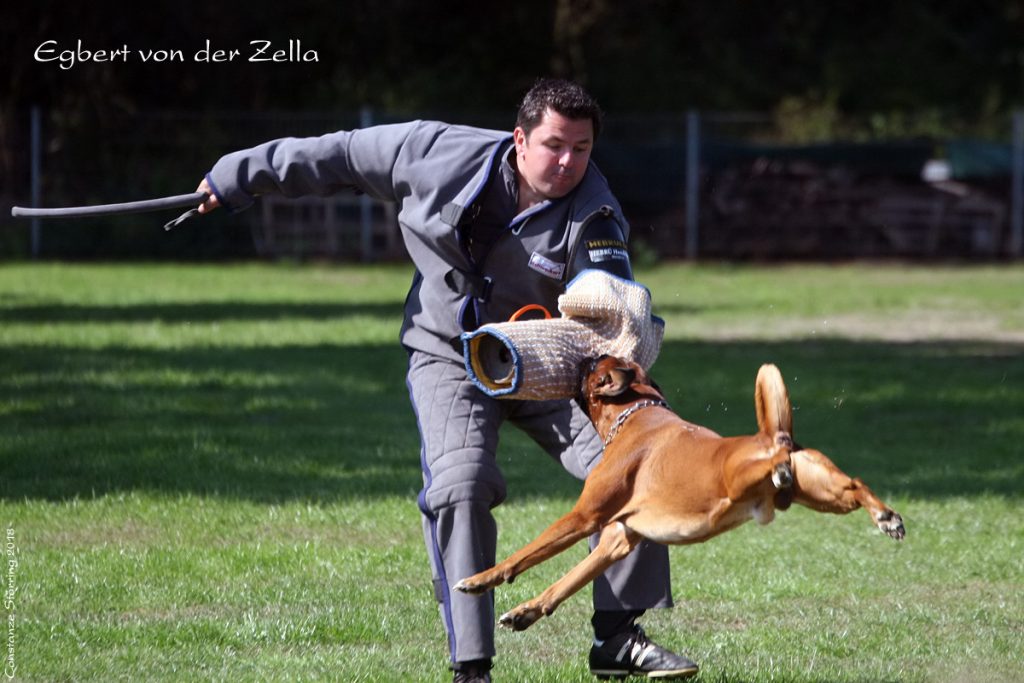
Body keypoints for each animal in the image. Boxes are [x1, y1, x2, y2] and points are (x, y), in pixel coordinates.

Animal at [456, 356, 905, 634]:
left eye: (592, 364)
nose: (578, 359)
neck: (634, 412)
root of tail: (774, 438)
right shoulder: (618, 539)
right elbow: (566, 583)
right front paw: (526, 612)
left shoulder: (584, 517)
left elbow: (525, 554)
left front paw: (480, 580)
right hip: (826, 492)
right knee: (857, 484)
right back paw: (886, 517)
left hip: (738, 479)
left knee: (776, 467)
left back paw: (780, 469)